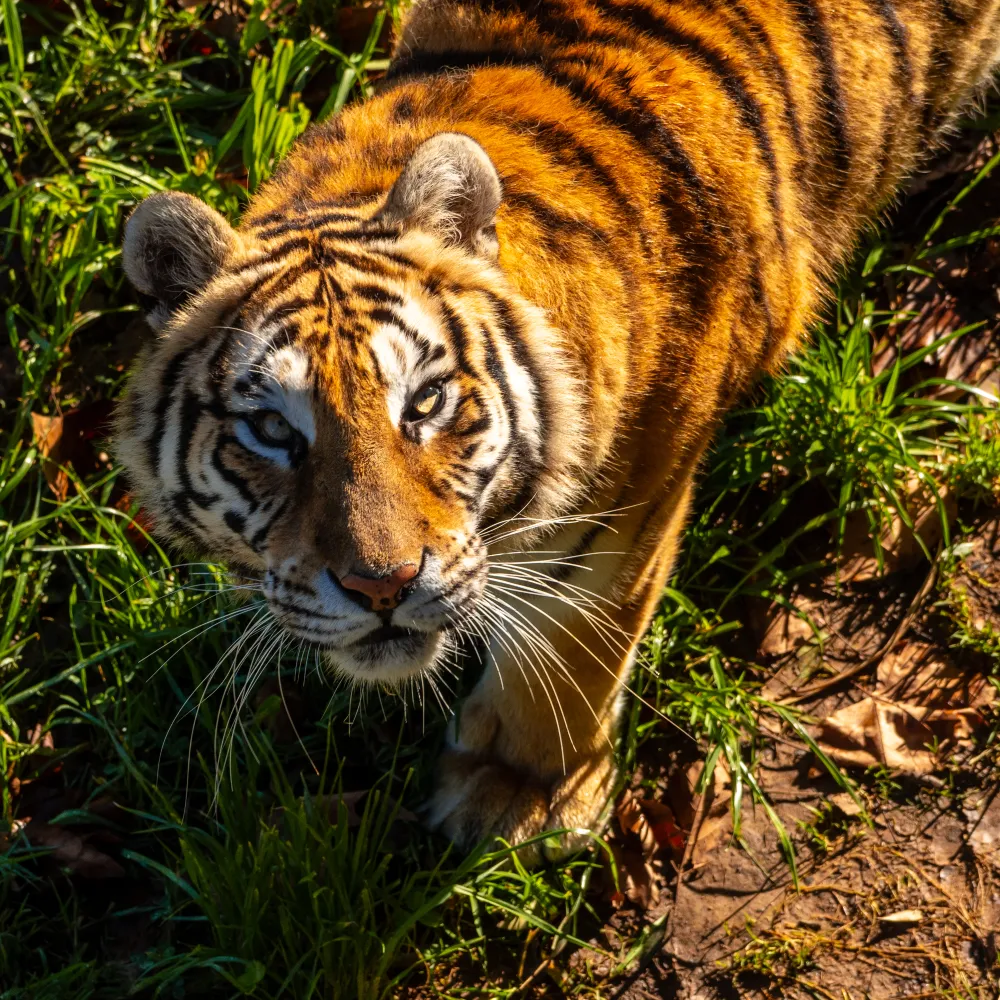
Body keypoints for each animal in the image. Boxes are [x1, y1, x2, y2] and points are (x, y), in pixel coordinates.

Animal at [115, 0, 1000, 859]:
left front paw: (521, 793)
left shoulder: (634, 506)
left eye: (425, 403)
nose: (382, 587)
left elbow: (574, 643)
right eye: (270, 428)